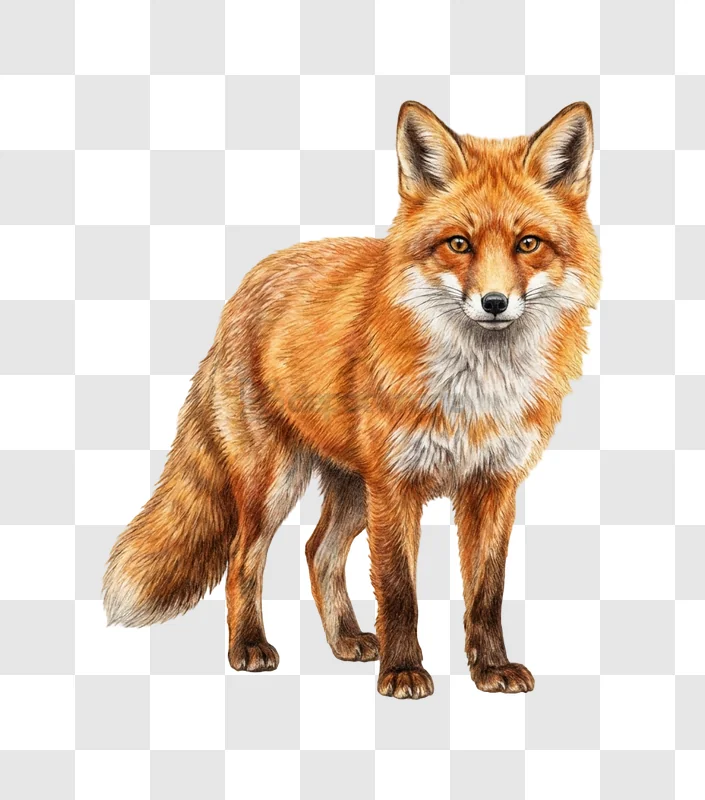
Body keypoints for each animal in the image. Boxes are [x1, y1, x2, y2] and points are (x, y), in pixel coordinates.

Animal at [104, 100, 600, 699]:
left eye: (528, 243)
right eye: (459, 244)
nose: (495, 302)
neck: (475, 392)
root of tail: (244, 288)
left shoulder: (493, 485)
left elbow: (487, 593)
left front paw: (490, 669)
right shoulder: (396, 483)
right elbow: (399, 590)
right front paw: (403, 671)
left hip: (354, 490)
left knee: (318, 551)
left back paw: (346, 639)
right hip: (279, 482)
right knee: (243, 559)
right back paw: (249, 646)